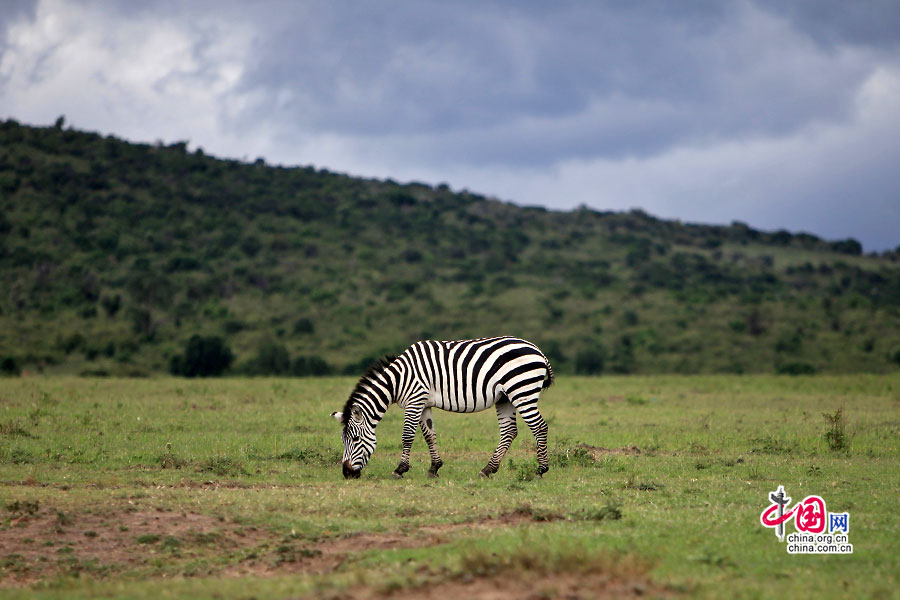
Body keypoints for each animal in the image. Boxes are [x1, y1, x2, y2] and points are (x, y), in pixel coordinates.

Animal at [332, 336, 556, 480]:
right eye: (343, 440)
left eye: (355, 439)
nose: (346, 474)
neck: (398, 380)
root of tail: (538, 350)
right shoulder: (423, 404)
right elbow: (429, 435)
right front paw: (434, 468)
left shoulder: (415, 400)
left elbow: (407, 435)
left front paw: (400, 469)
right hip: (505, 398)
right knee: (509, 432)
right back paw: (487, 470)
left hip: (522, 390)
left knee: (539, 427)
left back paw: (540, 470)